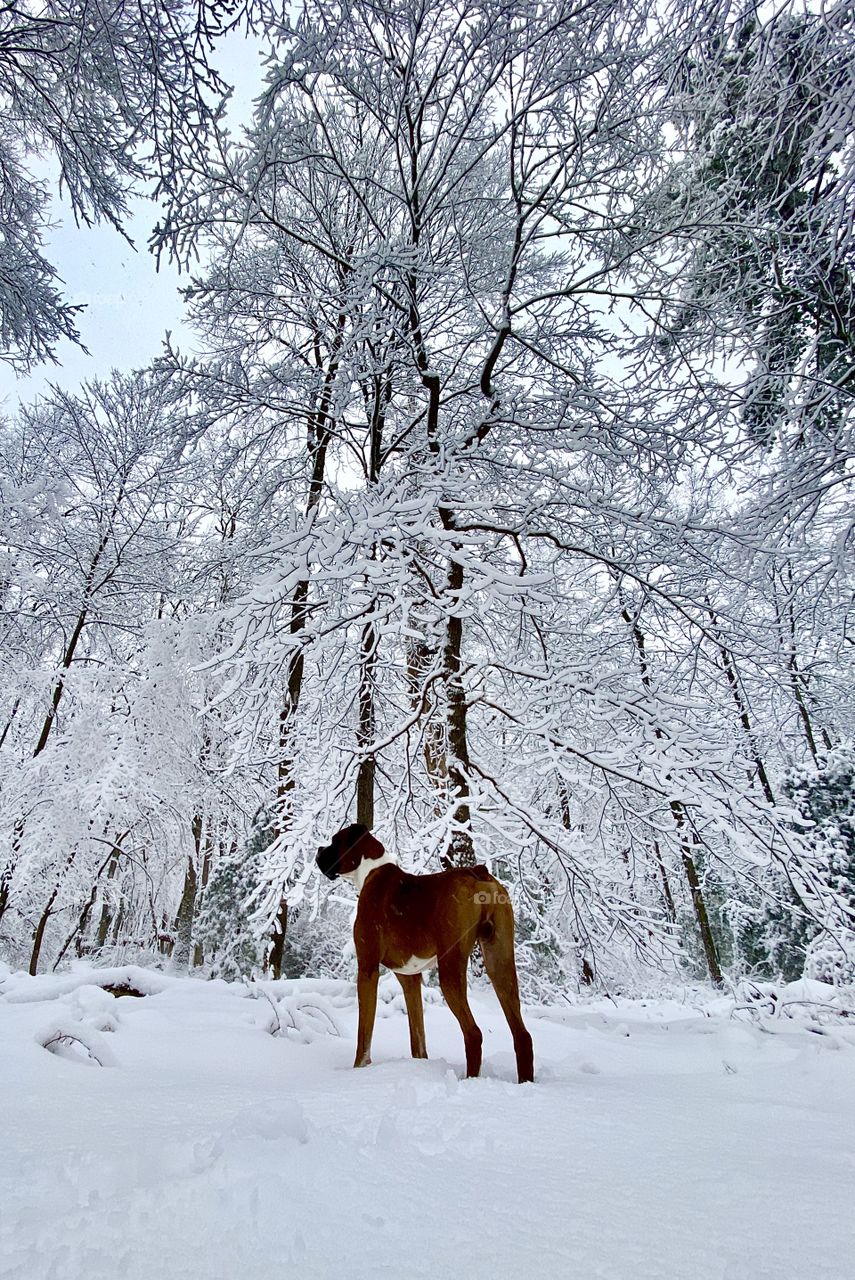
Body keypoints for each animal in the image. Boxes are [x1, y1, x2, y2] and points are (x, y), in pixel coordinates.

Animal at [317, 824, 529, 1085]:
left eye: (334, 841)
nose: (319, 850)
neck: (371, 871)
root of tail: (478, 873)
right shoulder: (410, 979)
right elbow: (417, 1038)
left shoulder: (367, 969)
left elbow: (364, 1034)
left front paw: (359, 1069)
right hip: (500, 963)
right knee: (522, 1034)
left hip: (450, 971)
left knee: (473, 1034)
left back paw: (470, 1081)